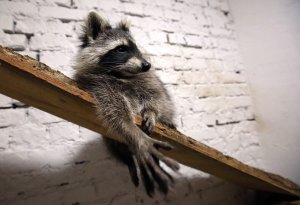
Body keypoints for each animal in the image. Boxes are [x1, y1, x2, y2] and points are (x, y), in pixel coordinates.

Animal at [73, 11, 179, 197]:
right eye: (121, 48)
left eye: (136, 47)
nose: (146, 64)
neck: (121, 74)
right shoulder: (97, 85)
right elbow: (114, 111)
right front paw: (134, 133)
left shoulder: (149, 79)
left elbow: (157, 96)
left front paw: (152, 111)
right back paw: (128, 158)